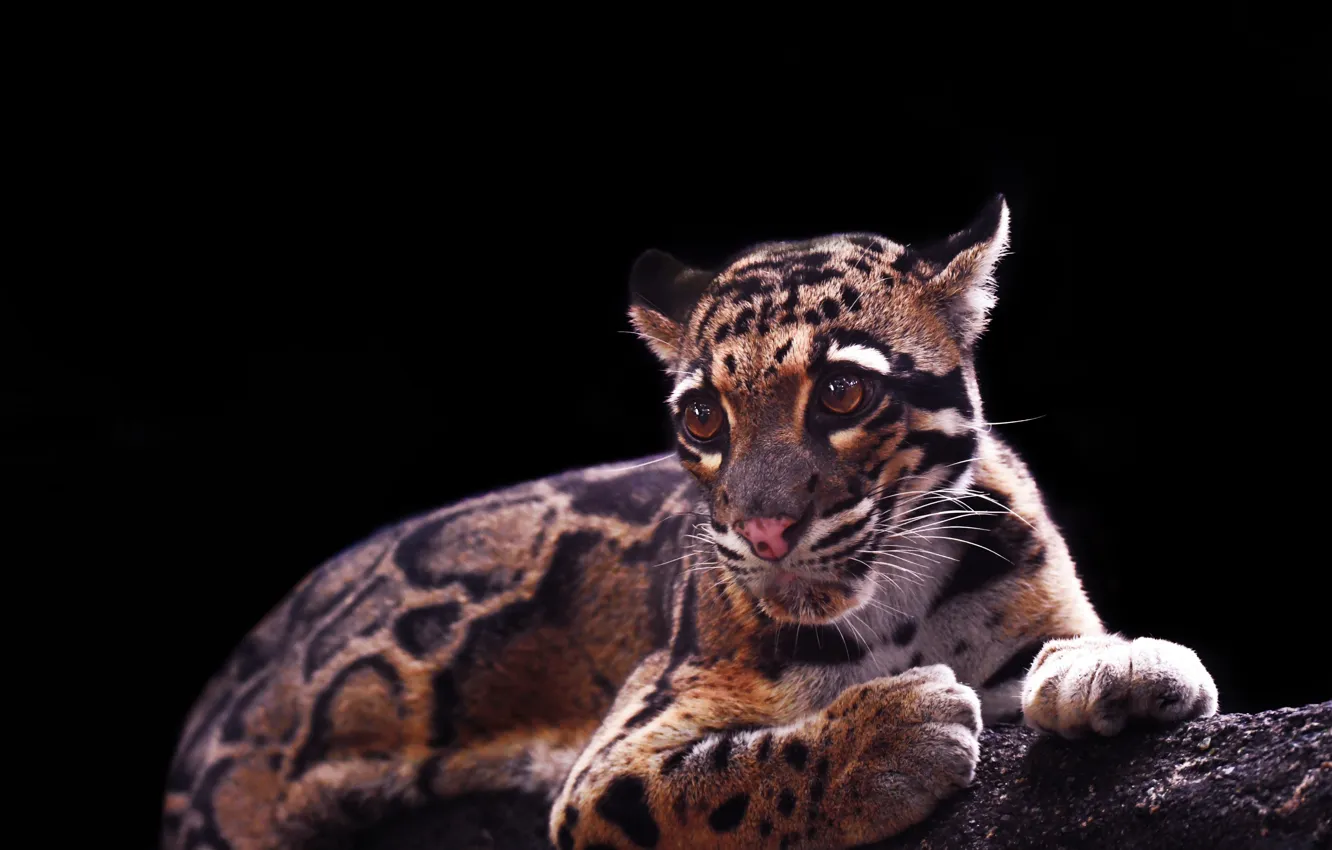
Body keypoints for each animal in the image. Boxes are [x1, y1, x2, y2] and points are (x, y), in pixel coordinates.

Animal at [161, 195, 1219, 850]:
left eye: (842, 392)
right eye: (702, 417)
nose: (764, 532)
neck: (897, 608)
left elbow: (1058, 646)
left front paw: (1119, 663)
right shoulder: (614, 756)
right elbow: (717, 784)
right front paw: (887, 738)